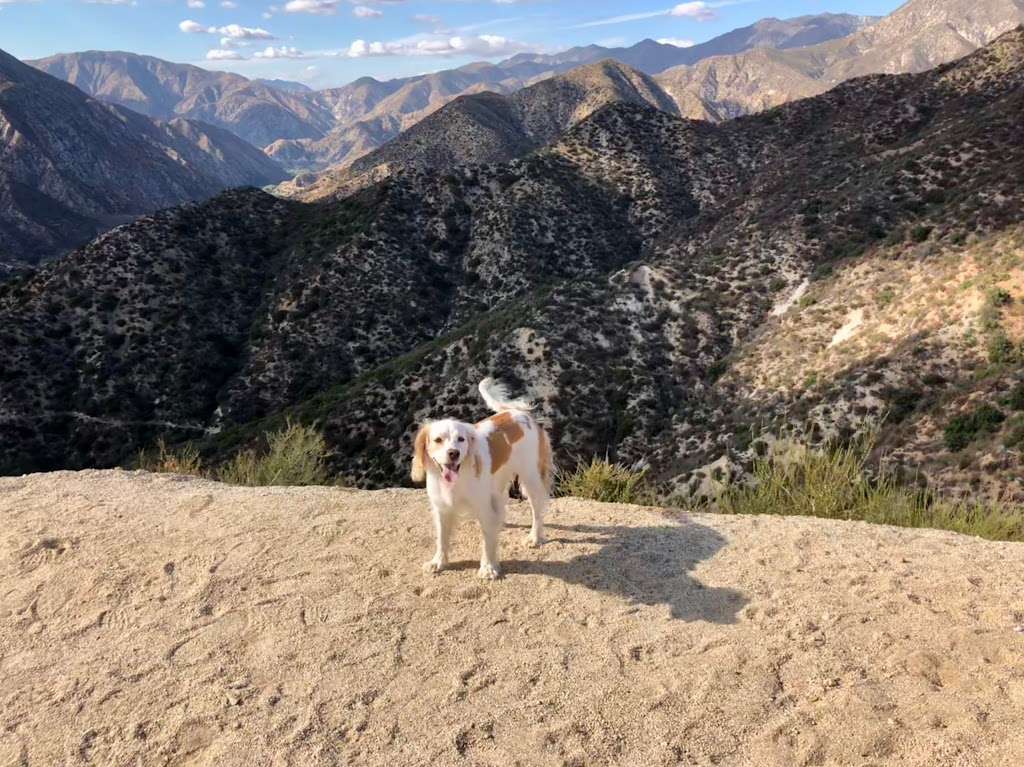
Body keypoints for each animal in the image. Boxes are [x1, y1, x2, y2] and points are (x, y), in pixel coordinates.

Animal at [409, 376, 557, 581]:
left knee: (537, 511)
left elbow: (487, 540)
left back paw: (534, 537)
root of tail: (518, 413)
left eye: (461, 439)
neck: (456, 481)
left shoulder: (483, 507)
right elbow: (442, 537)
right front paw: (438, 562)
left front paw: (488, 568)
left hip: (531, 478)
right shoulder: (442, 508)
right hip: (499, 482)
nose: (453, 453)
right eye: (438, 440)